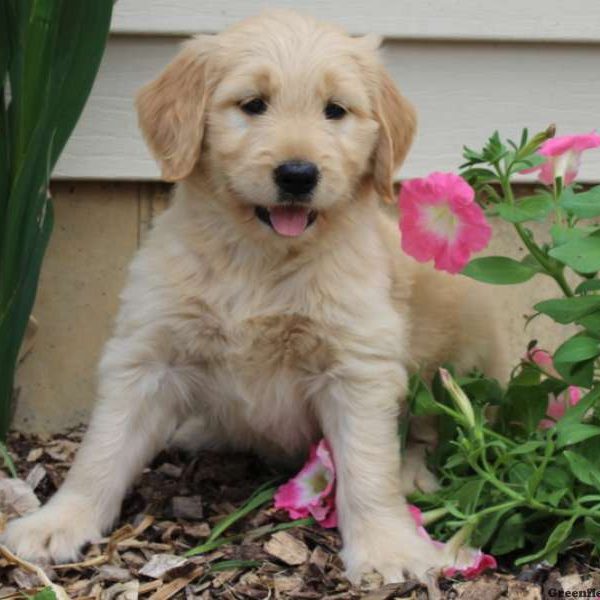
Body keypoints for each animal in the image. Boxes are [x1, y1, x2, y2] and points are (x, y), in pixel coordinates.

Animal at [2, 9, 506, 580]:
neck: (258, 259)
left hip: (464, 325)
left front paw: (387, 548)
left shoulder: (357, 366)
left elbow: (367, 464)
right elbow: (103, 449)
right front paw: (58, 522)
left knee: (433, 427)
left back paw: (413, 475)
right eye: (253, 104)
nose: (298, 174)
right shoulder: (148, 354)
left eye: (335, 111)